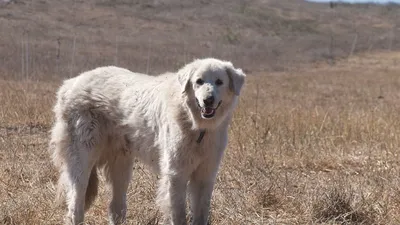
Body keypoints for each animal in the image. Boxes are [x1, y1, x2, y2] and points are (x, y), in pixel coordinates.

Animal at [48, 58, 245, 225]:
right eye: (199, 81)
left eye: (219, 82)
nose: (208, 100)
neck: (196, 125)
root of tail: (70, 83)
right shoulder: (175, 175)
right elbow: (179, 215)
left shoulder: (205, 175)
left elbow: (201, 214)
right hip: (83, 160)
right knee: (76, 206)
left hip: (121, 166)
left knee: (115, 208)